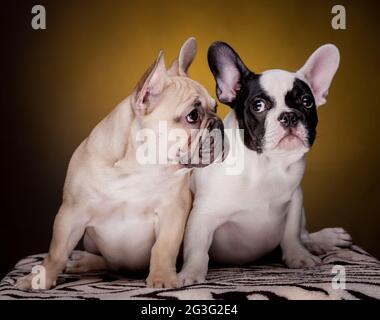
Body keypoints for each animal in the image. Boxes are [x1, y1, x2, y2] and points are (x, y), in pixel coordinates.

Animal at [17, 37, 224, 290]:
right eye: (193, 116)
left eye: (215, 108)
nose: (218, 123)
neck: (138, 166)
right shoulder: (71, 212)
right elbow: (56, 250)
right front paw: (40, 278)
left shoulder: (173, 212)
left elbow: (163, 248)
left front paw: (163, 278)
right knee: (104, 261)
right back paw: (84, 262)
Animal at [180, 41, 352, 284]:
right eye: (258, 105)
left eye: (307, 101)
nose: (289, 116)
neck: (265, 164)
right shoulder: (203, 215)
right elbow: (197, 249)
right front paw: (191, 273)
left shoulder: (295, 200)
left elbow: (291, 234)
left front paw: (298, 257)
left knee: (304, 235)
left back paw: (323, 239)